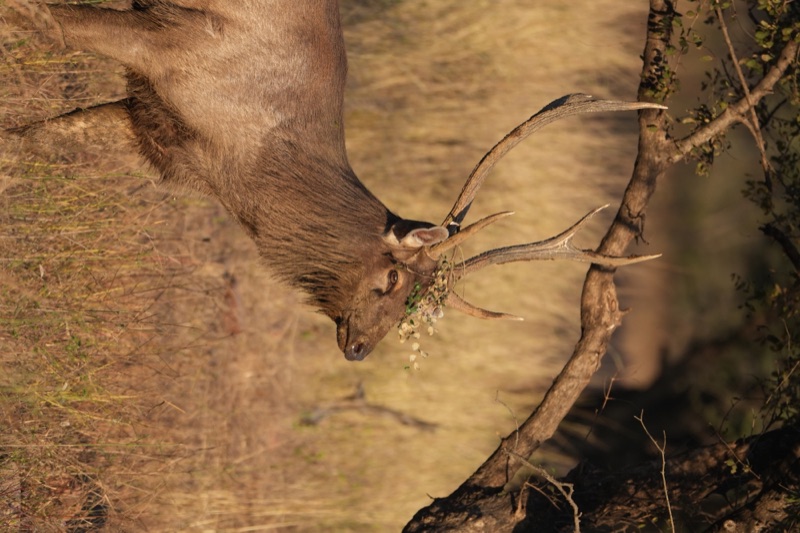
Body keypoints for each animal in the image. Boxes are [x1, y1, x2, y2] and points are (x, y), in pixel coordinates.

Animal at [3, 0, 663, 361]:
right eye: (392, 279)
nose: (359, 350)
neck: (242, 161)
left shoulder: (151, 126)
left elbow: (38, 139)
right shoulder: (169, 43)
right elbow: (45, 22)